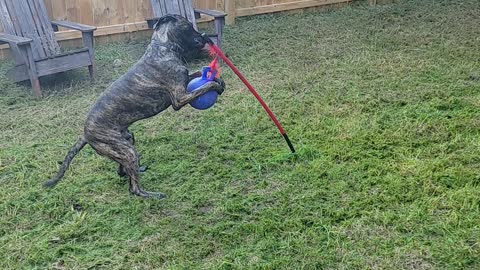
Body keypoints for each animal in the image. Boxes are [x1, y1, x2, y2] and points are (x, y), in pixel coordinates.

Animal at [42, 14, 225, 198]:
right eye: (187, 25)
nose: (204, 36)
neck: (163, 47)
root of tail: (86, 135)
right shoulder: (179, 98)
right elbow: (205, 86)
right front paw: (216, 86)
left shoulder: (184, 82)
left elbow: (200, 75)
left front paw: (218, 80)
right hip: (126, 150)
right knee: (134, 189)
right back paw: (153, 194)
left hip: (127, 140)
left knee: (123, 171)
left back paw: (138, 169)